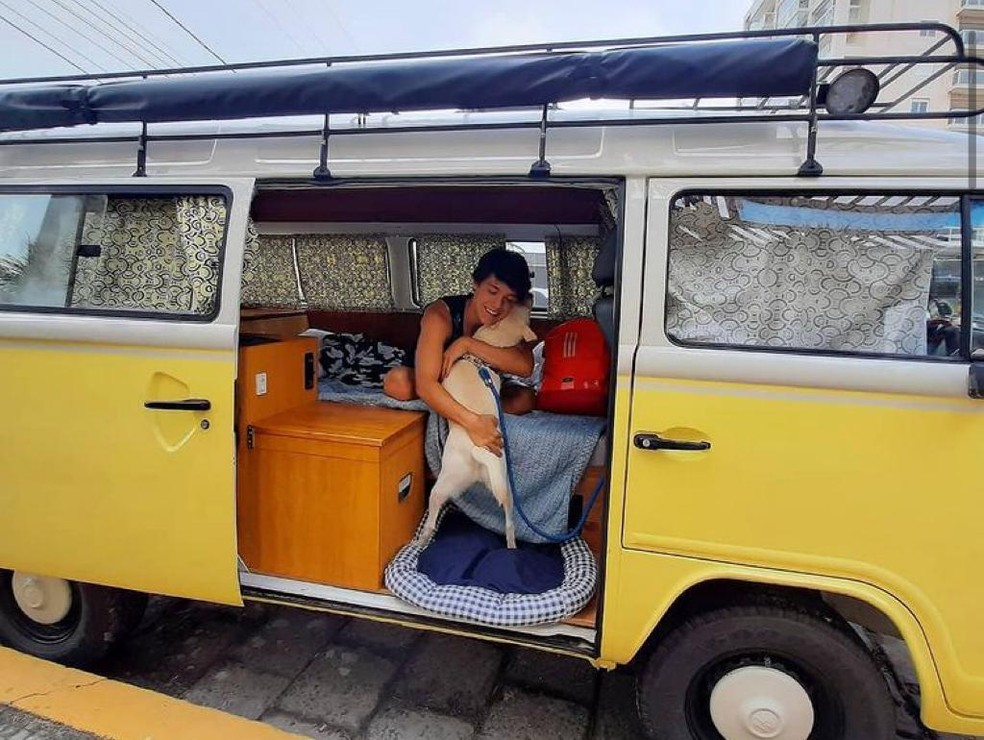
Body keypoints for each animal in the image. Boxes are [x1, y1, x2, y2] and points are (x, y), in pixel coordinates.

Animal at [418, 304, 536, 548]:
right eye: (519, 305)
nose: (529, 297)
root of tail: (479, 455)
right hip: (494, 487)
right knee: (508, 523)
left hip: (454, 481)